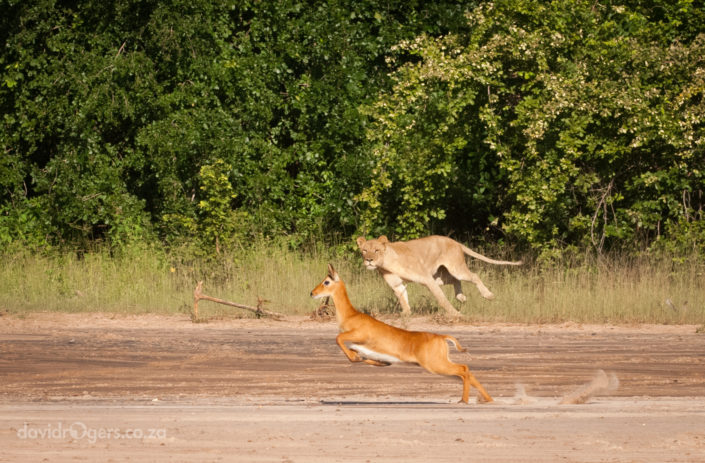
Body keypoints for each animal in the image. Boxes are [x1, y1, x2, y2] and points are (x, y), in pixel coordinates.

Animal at [356, 235, 521, 316]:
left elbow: (441, 299)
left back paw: (488, 295)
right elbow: (403, 299)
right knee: (455, 281)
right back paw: (461, 297)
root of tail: (455, 241)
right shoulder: (397, 285)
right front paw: (406, 313)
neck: (387, 262)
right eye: (364, 250)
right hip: (440, 277)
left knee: (473, 276)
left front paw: (455, 314)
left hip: (455, 269)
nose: (369, 260)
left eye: (376, 250)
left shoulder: (427, 279)